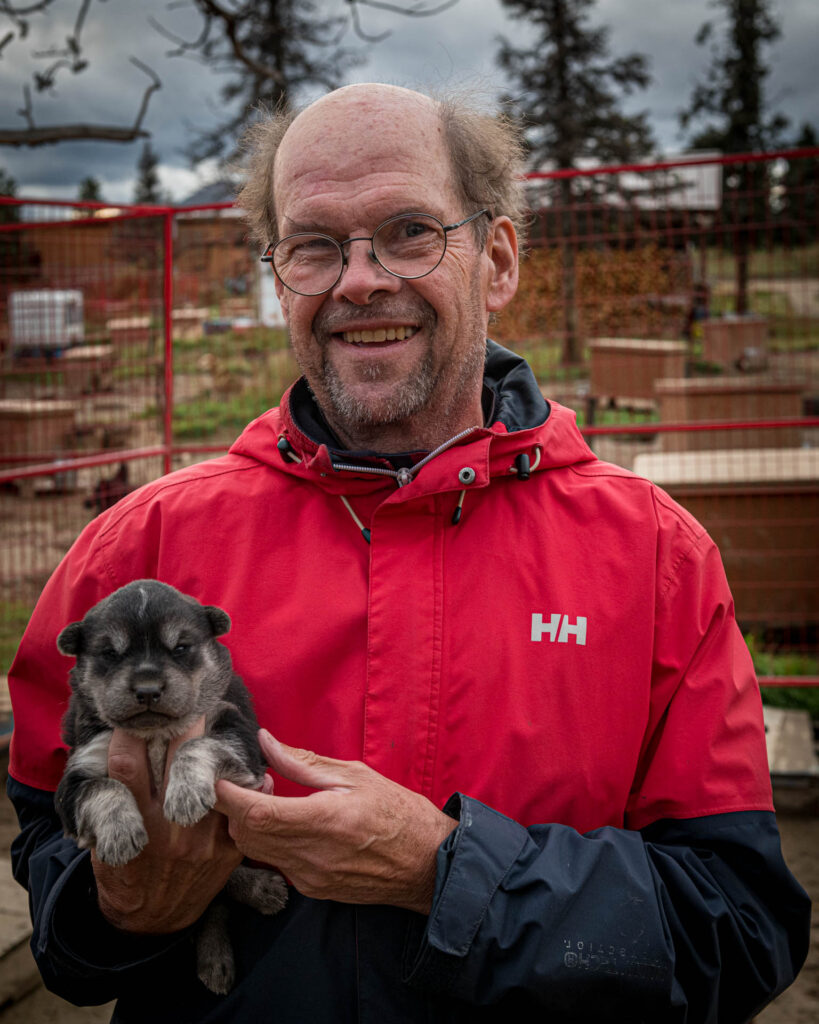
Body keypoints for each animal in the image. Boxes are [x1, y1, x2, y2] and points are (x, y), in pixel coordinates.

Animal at [56, 581, 286, 995]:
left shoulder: (240, 738)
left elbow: (195, 745)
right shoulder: (77, 772)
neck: (154, 735)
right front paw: (121, 833)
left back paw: (261, 892)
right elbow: (104, 788)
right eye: (110, 653)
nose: (147, 689)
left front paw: (184, 795)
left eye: (180, 647)